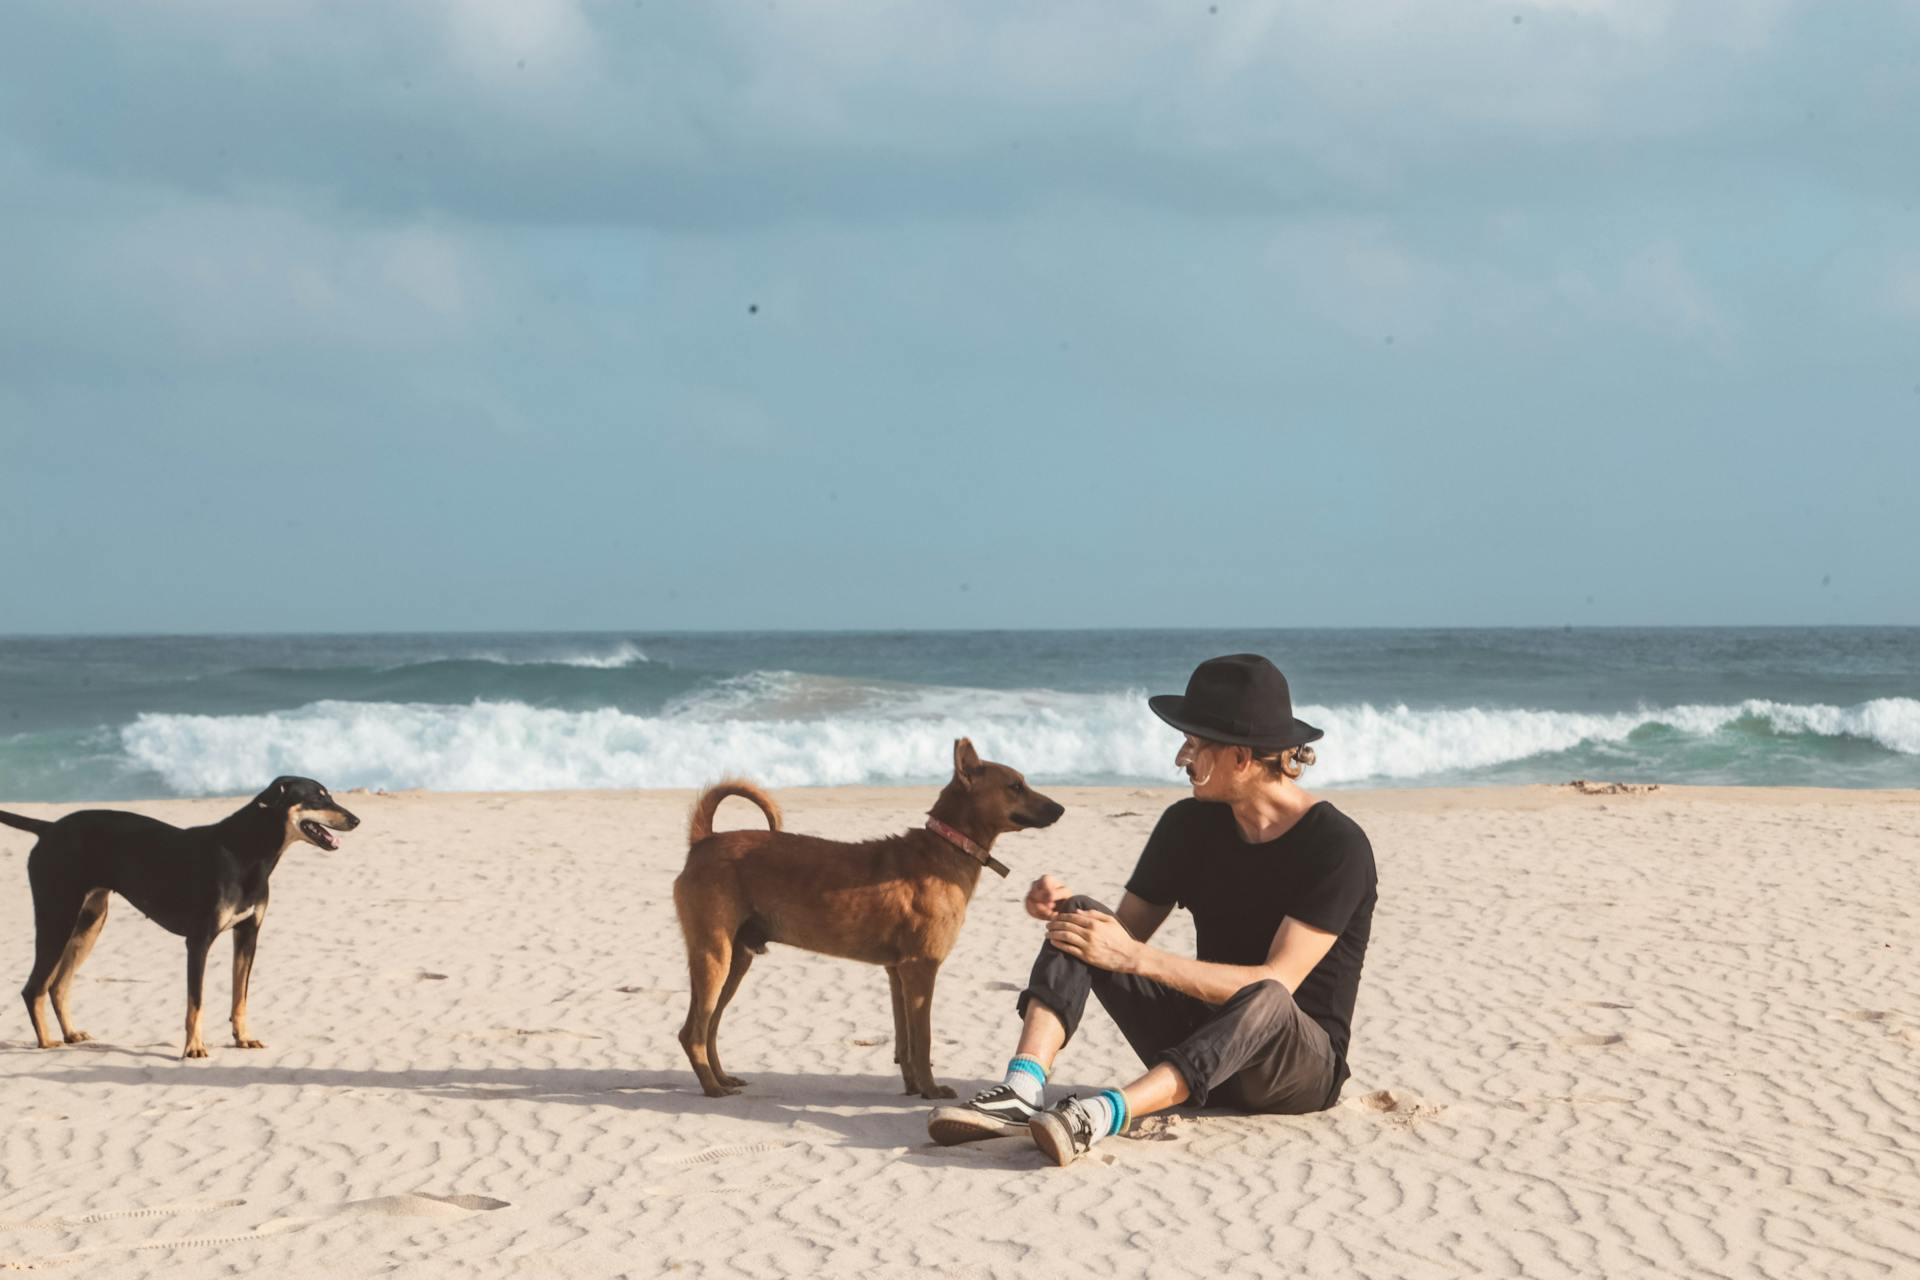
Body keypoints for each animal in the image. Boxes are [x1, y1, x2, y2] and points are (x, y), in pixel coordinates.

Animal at [2, 782, 360, 1059]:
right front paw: (194, 1048)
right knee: (34, 988)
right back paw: (47, 1042)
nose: (356, 819)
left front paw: (243, 1038)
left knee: (58, 985)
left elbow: (240, 997)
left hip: (89, 922)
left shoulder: (248, 935)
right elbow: (195, 1003)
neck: (245, 851)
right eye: (317, 798)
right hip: (57, 917)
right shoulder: (198, 942)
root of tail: (48, 828)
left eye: (329, 795)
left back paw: (71, 1034)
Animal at [672, 740, 1067, 1105]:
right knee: (693, 1032)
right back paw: (712, 1088)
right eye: (1016, 786)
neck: (947, 847)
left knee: (709, 1028)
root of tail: (704, 841)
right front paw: (931, 1090)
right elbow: (923, 1040)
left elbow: (904, 1043)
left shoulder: (897, 973)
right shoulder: (920, 970)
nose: (1061, 808)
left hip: (736, 960)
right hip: (714, 957)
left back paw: (723, 1078)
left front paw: (913, 1087)